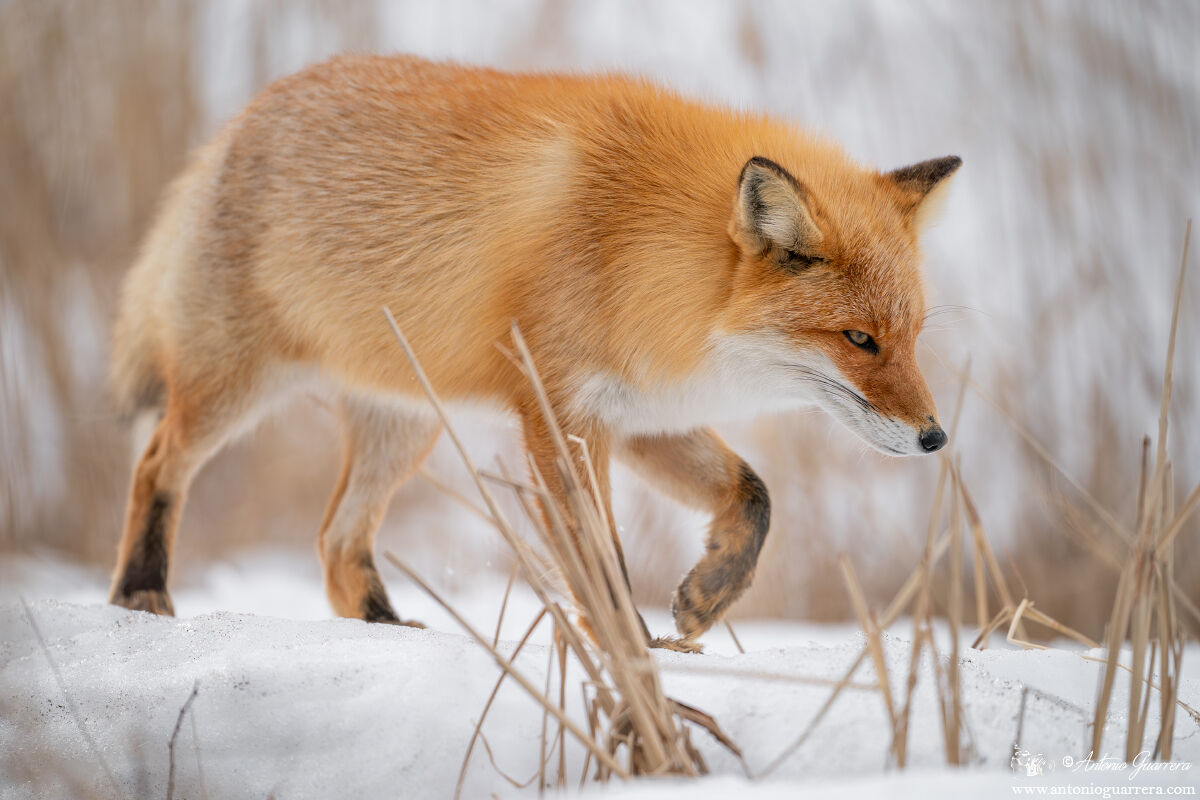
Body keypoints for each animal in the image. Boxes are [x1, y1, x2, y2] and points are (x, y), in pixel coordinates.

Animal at [108, 54, 958, 650]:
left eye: (914, 336)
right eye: (859, 339)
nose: (935, 437)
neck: (638, 253)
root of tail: (237, 122)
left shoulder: (640, 417)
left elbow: (754, 496)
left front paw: (707, 595)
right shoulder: (560, 416)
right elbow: (603, 568)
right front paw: (635, 663)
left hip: (405, 425)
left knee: (335, 540)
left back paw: (385, 631)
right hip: (234, 387)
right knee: (156, 464)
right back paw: (140, 594)